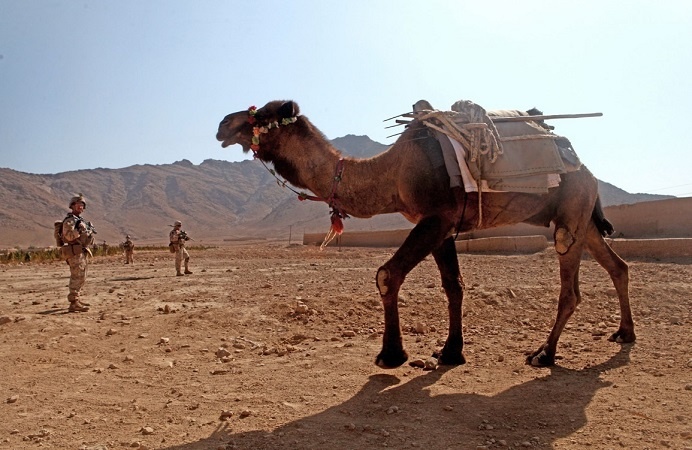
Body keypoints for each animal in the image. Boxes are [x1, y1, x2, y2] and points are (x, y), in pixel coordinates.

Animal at [216, 100, 636, 368]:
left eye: (260, 114)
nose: (222, 124)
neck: (391, 172)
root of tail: (584, 167)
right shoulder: (443, 225)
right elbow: (454, 286)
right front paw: (450, 352)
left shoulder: (436, 217)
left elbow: (387, 274)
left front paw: (390, 355)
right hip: (582, 215)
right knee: (617, 265)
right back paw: (624, 334)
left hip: (572, 208)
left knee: (571, 283)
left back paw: (544, 354)